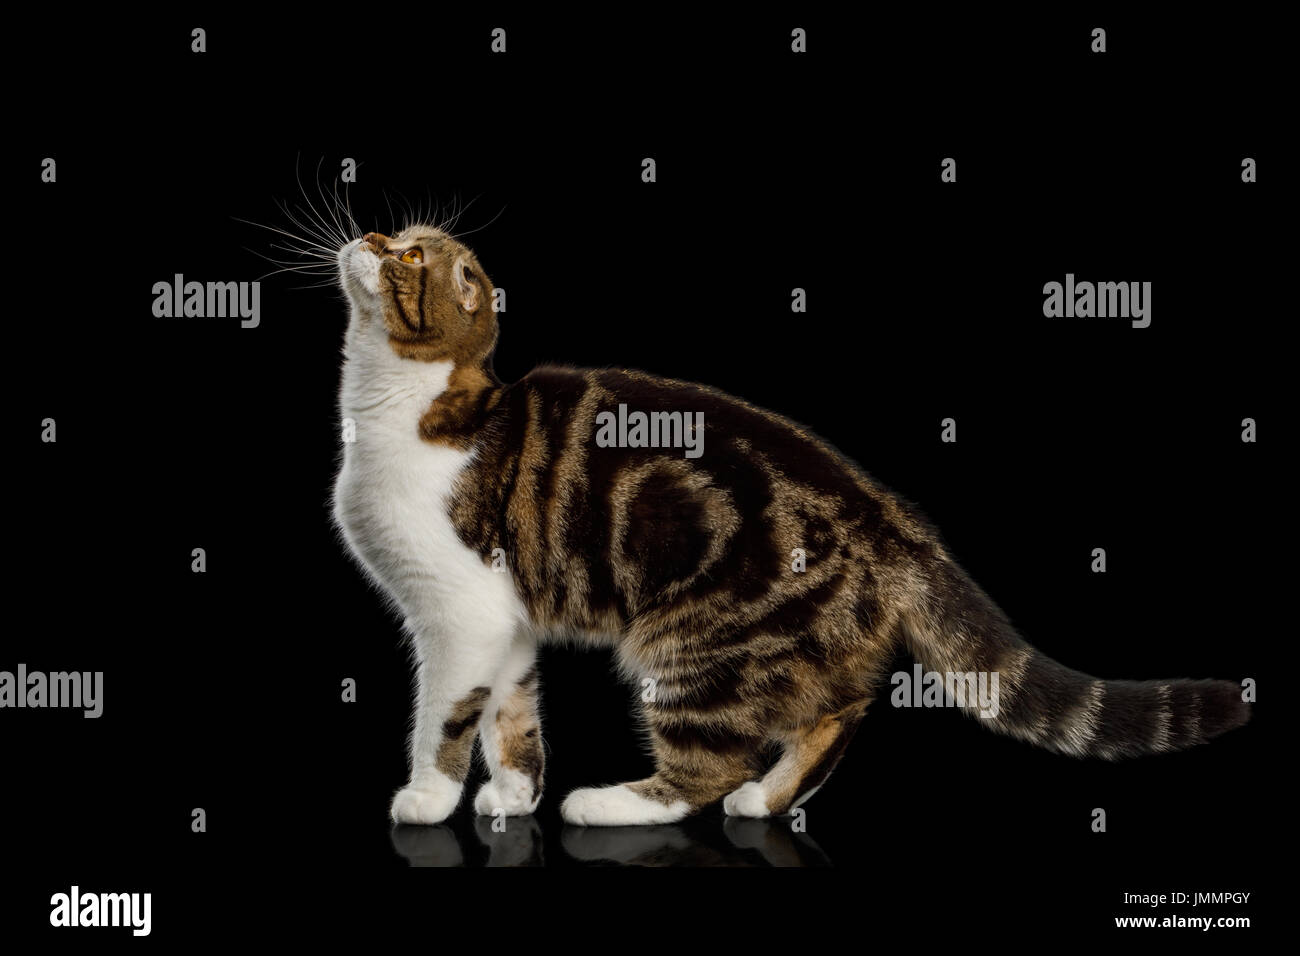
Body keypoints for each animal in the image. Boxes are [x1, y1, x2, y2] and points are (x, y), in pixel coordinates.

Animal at [332, 226, 1248, 832]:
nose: (368, 234)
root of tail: (897, 524)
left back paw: (616, 802)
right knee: (839, 708)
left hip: (692, 644)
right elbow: (512, 714)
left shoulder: (460, 615)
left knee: (712, 764)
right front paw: (515, 795)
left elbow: (446, 717)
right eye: (392, 236)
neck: (405, 409)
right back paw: (769, 798)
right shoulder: (507, 621)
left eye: (409, 256)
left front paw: (428, 797)